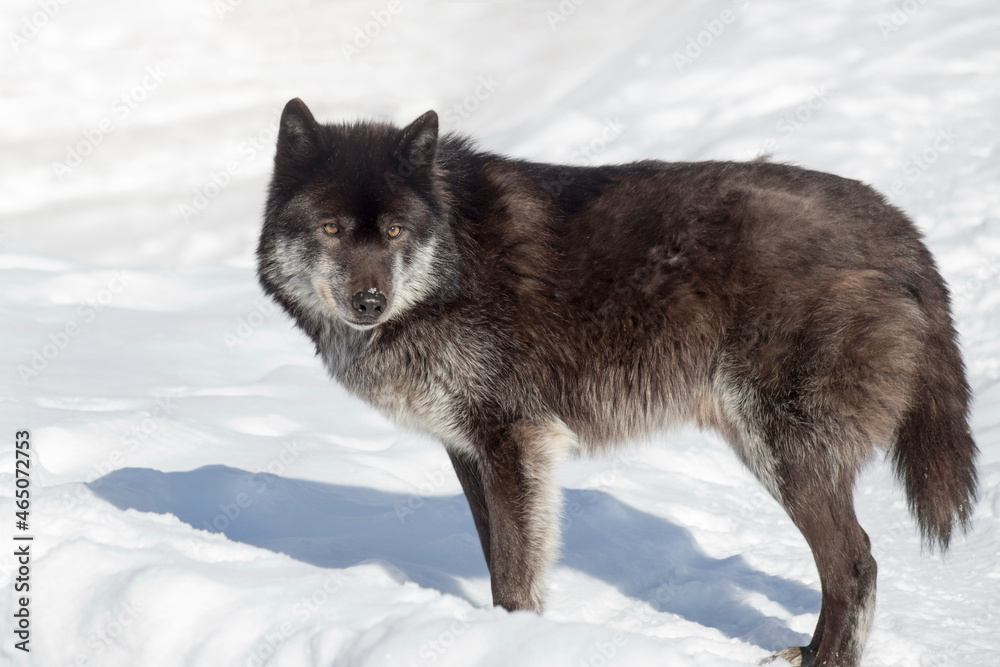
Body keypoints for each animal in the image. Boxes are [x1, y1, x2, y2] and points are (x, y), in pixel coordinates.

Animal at [256, 100, 976, 667]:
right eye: (331, 229)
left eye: (395, 230)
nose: (369, 301)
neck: (454, 261)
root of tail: (893, 222)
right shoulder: (470, 448)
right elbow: (496, 559)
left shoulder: (515, 438)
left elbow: (515, 574)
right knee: (847, 564)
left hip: (782, 449)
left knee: (856, 562)